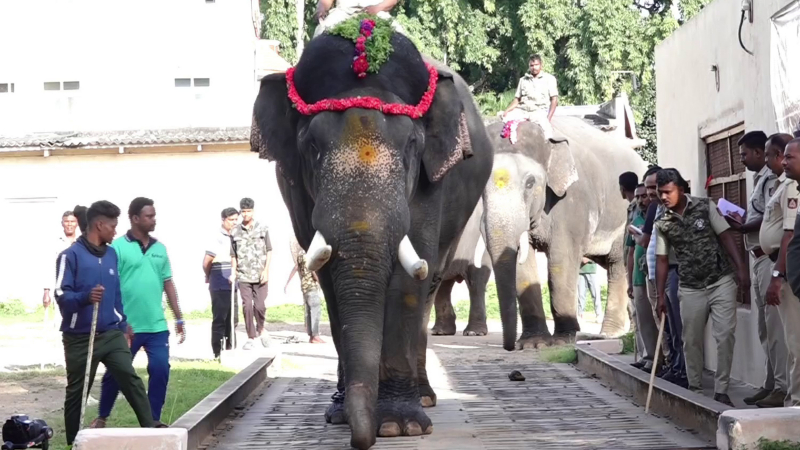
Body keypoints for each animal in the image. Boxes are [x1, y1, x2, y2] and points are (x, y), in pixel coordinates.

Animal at [482, 117, 648, 351]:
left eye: (530, 183)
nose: (510, 346)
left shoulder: (573, 201)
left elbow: (561, 260)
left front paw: (562, 340)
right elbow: (523, 264)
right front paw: (533, 343)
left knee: (618, 264)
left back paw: (610, 333)